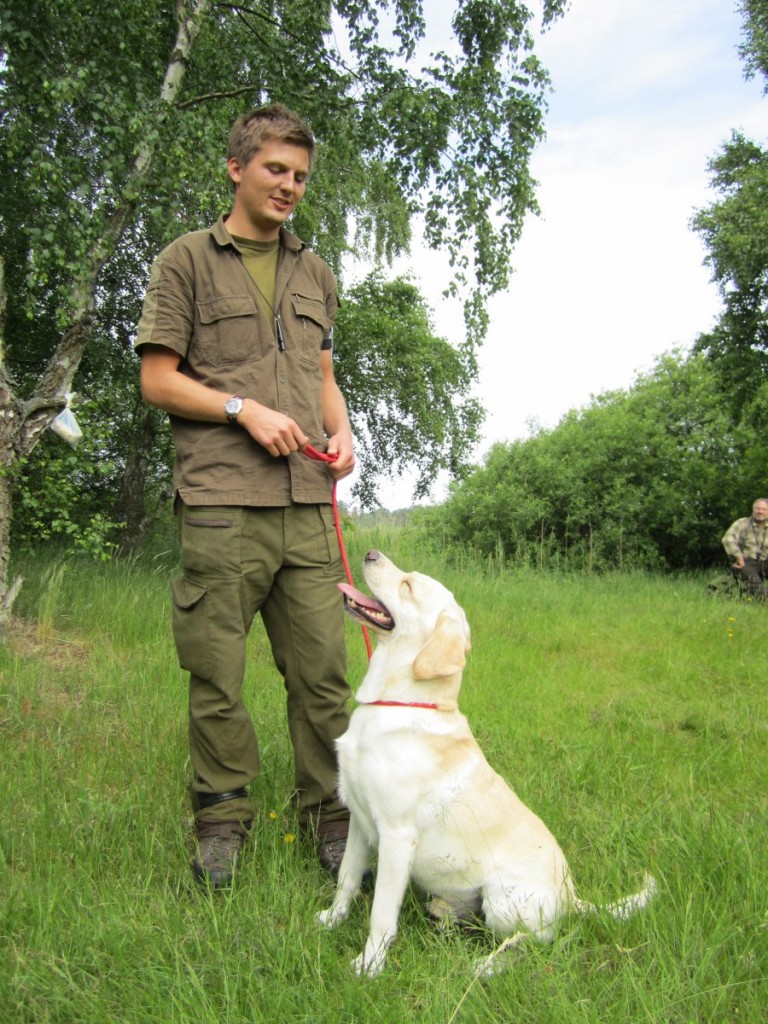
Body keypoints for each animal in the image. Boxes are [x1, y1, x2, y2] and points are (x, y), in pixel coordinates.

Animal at [319, 552, 655, 974]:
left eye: (408, 585)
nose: (370, 554)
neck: (397, 703)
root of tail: (572, 898)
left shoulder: (396, 836)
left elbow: (381, 913)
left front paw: (369, 965)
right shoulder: (360, 821)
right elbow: (347, 879)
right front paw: (331, 920)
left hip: (503, 900)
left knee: (534, 942)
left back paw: (486, 966)